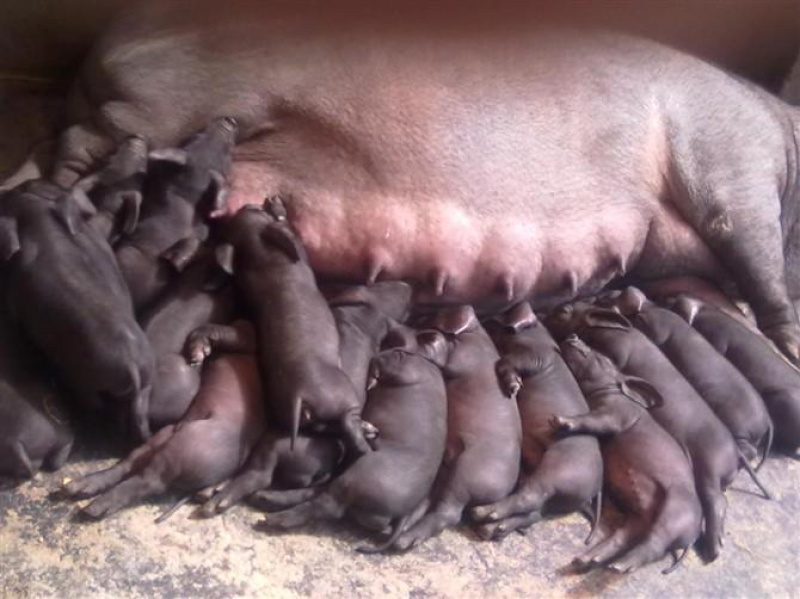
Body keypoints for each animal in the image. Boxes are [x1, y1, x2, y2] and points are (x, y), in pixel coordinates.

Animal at [50, 1, 800, 360]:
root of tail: (101, 49)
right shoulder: (729, 145)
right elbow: (748, 238)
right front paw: (792, 343)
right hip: (171, 105)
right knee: (82, 147)